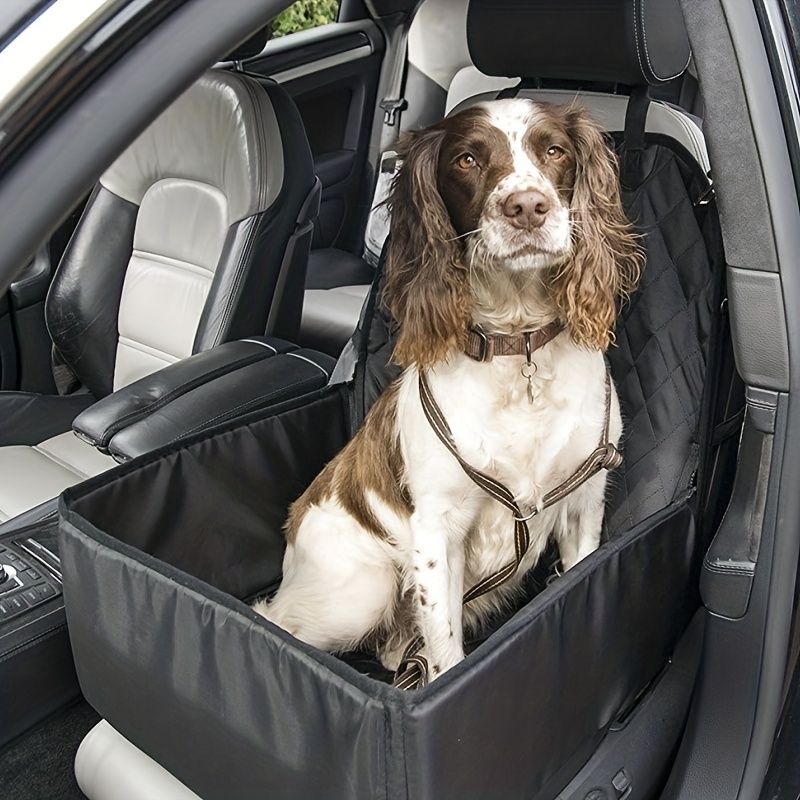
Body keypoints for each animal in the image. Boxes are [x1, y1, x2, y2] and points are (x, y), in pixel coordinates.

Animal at [256, 95, 644, 680]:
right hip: (361, 590)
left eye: (554, 150)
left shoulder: (583, 502)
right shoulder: (438, 532)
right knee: (277, 623)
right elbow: (445, 654)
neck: (518, 346)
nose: (528, 207)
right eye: (466, 160)